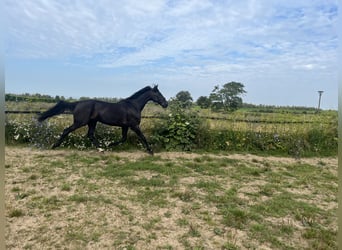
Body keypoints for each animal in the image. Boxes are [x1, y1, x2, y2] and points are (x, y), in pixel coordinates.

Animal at [38, 85, 169, 153]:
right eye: (159, 94)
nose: (166, 104)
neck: (133, 106)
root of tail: (77, 104)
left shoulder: (125, 126)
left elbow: (123, 139)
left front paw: (109, 144)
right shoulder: (134, 126)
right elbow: (142, 137)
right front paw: (150, 151)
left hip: (92, 122)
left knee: (90, 135)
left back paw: (101, 148)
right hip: (80, 122)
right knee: (67, 130)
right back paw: (55, 146)